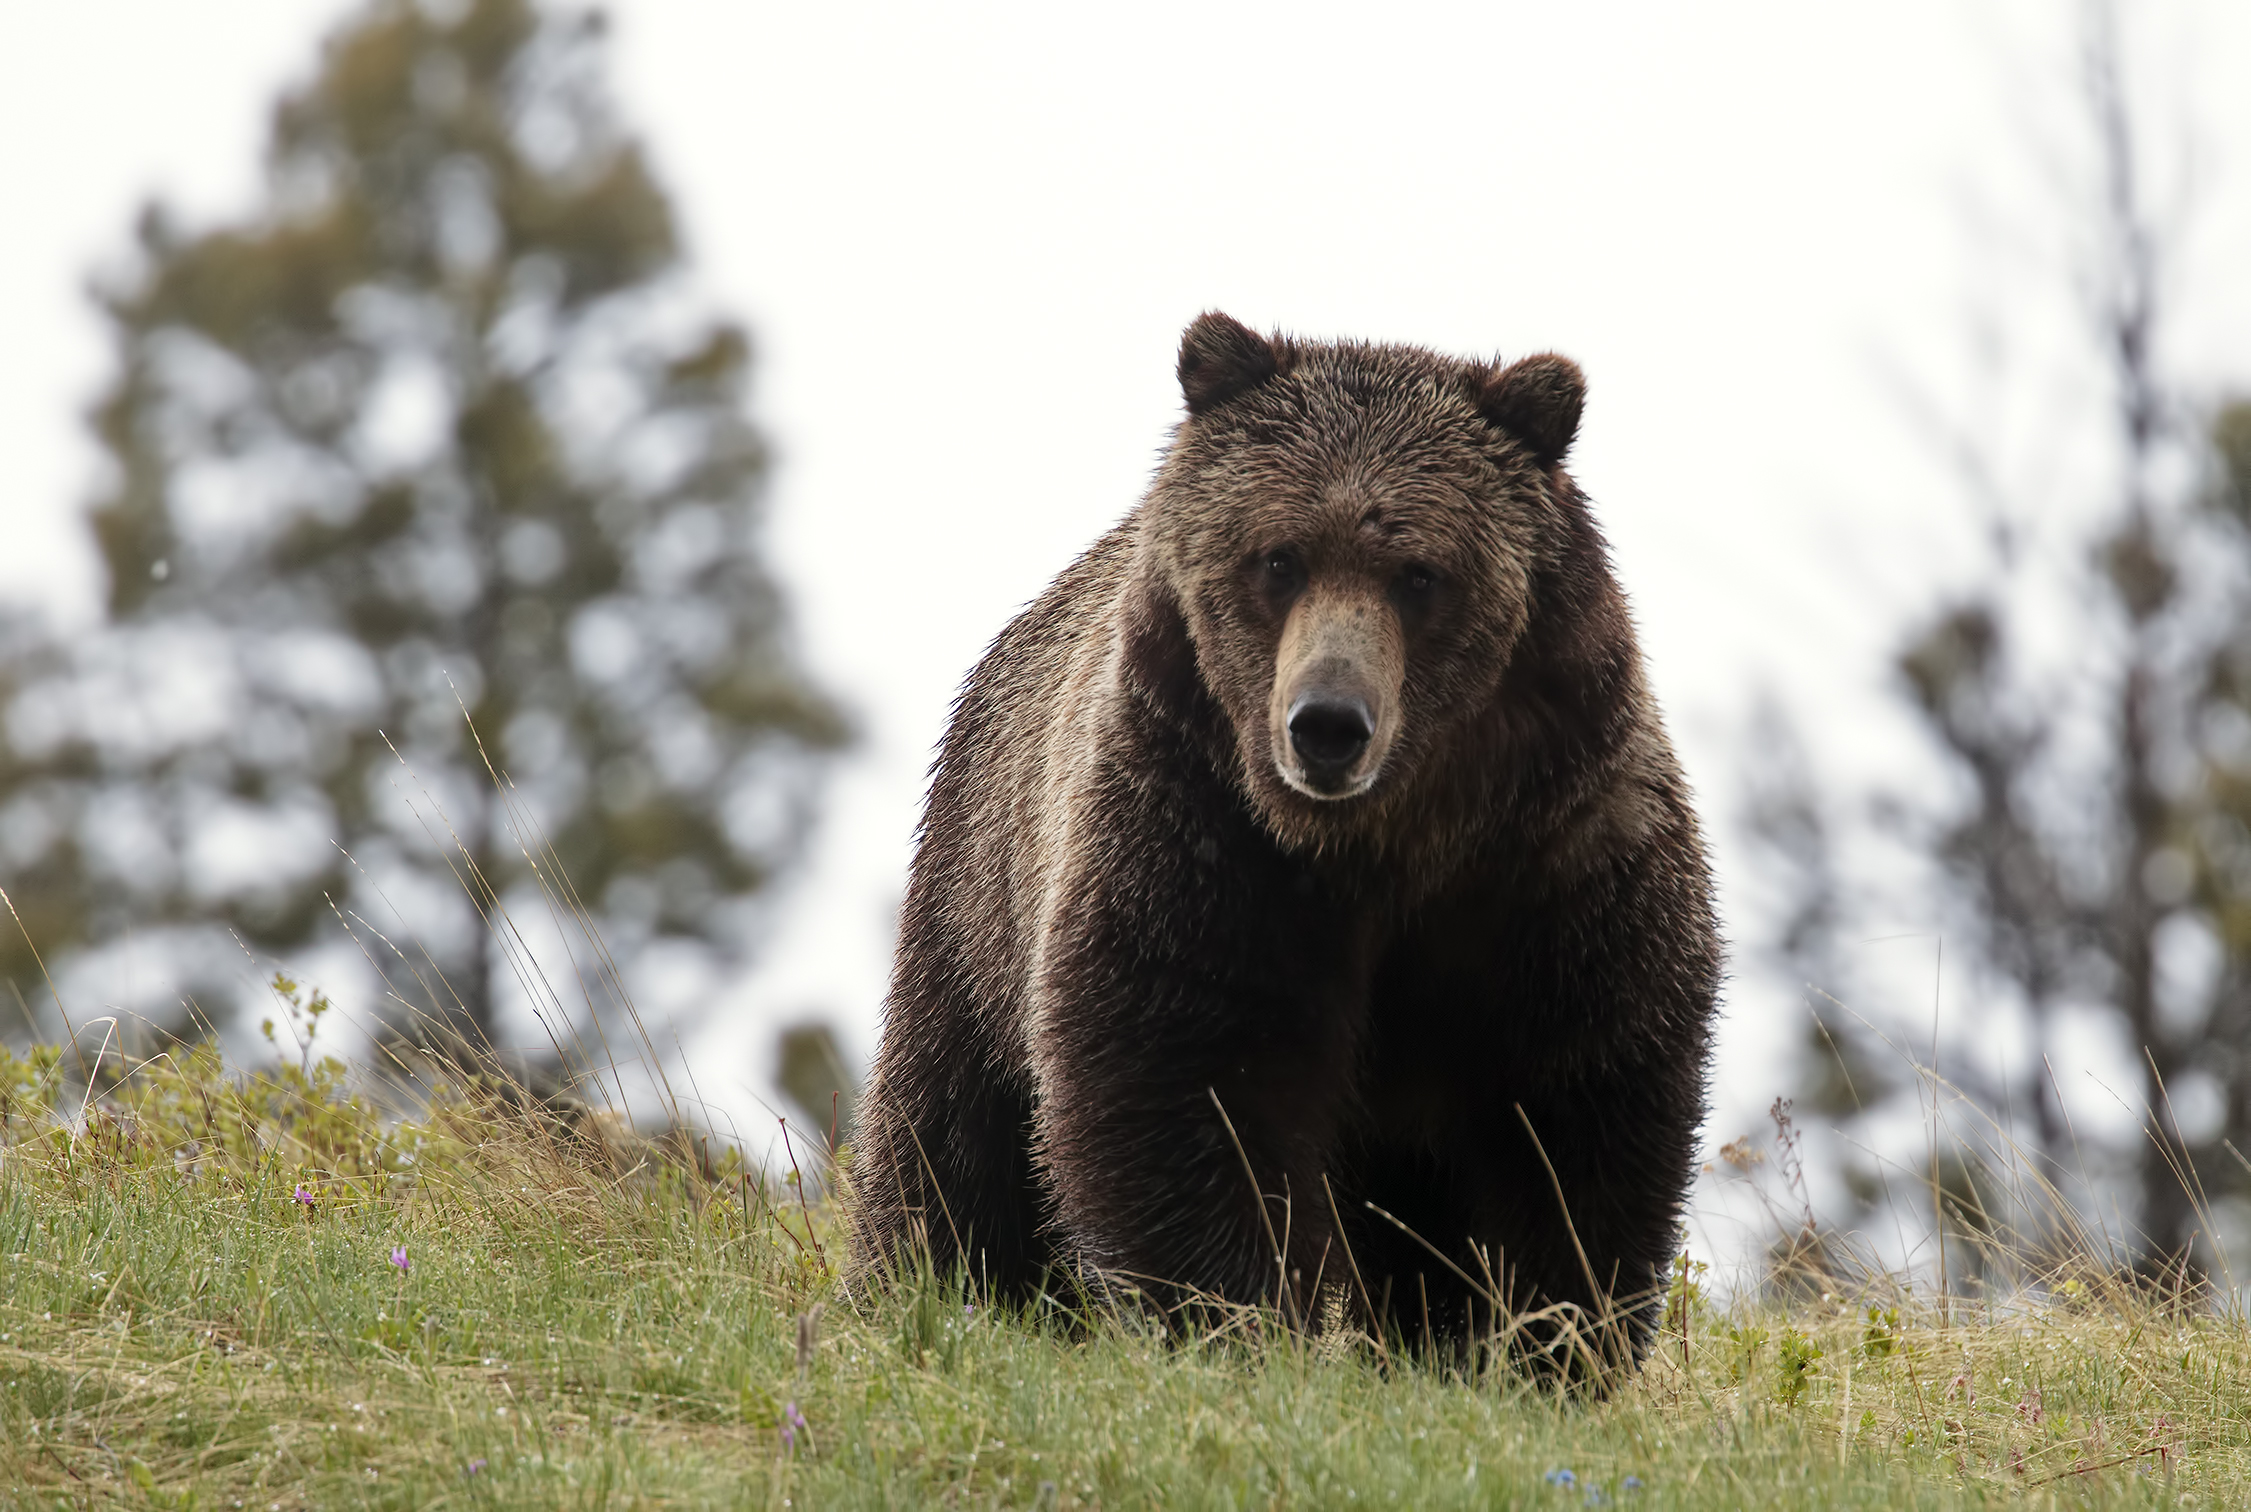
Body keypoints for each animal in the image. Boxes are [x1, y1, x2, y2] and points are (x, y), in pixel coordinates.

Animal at [846, 312, 1719, 1370]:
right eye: (1278, 558)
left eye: (1419, 574)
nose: (1328, 724)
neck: (1386, 846)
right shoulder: (1204, 842)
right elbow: (1198, 1083)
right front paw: (1258, 1325)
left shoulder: (1554, 865)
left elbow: (1570, 1114)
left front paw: (1534, 1347)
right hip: (979, 892)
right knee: (950, 1137)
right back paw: (919, 1292)